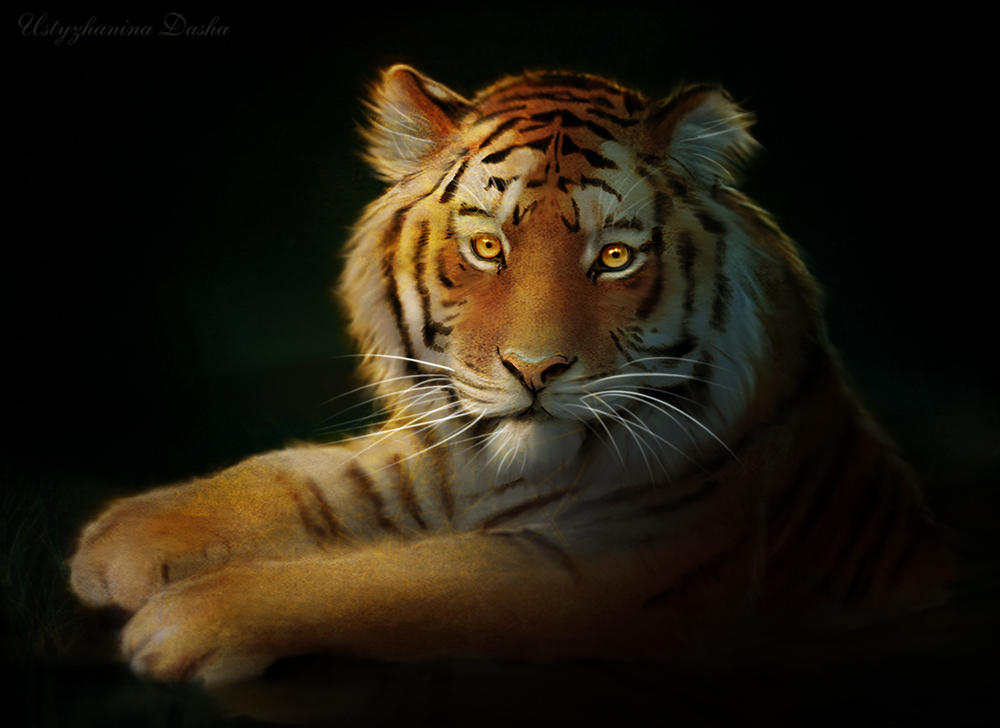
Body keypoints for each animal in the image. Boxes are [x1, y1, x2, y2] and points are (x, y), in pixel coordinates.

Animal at [68, 65, 954, 685]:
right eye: (488, 247)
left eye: (615, 257)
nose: (535, 369)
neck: (511, 467)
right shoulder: (433, 453)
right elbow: (305, 478)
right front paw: (117, 541)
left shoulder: (609, 576)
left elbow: (396, 580)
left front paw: (183, 621)